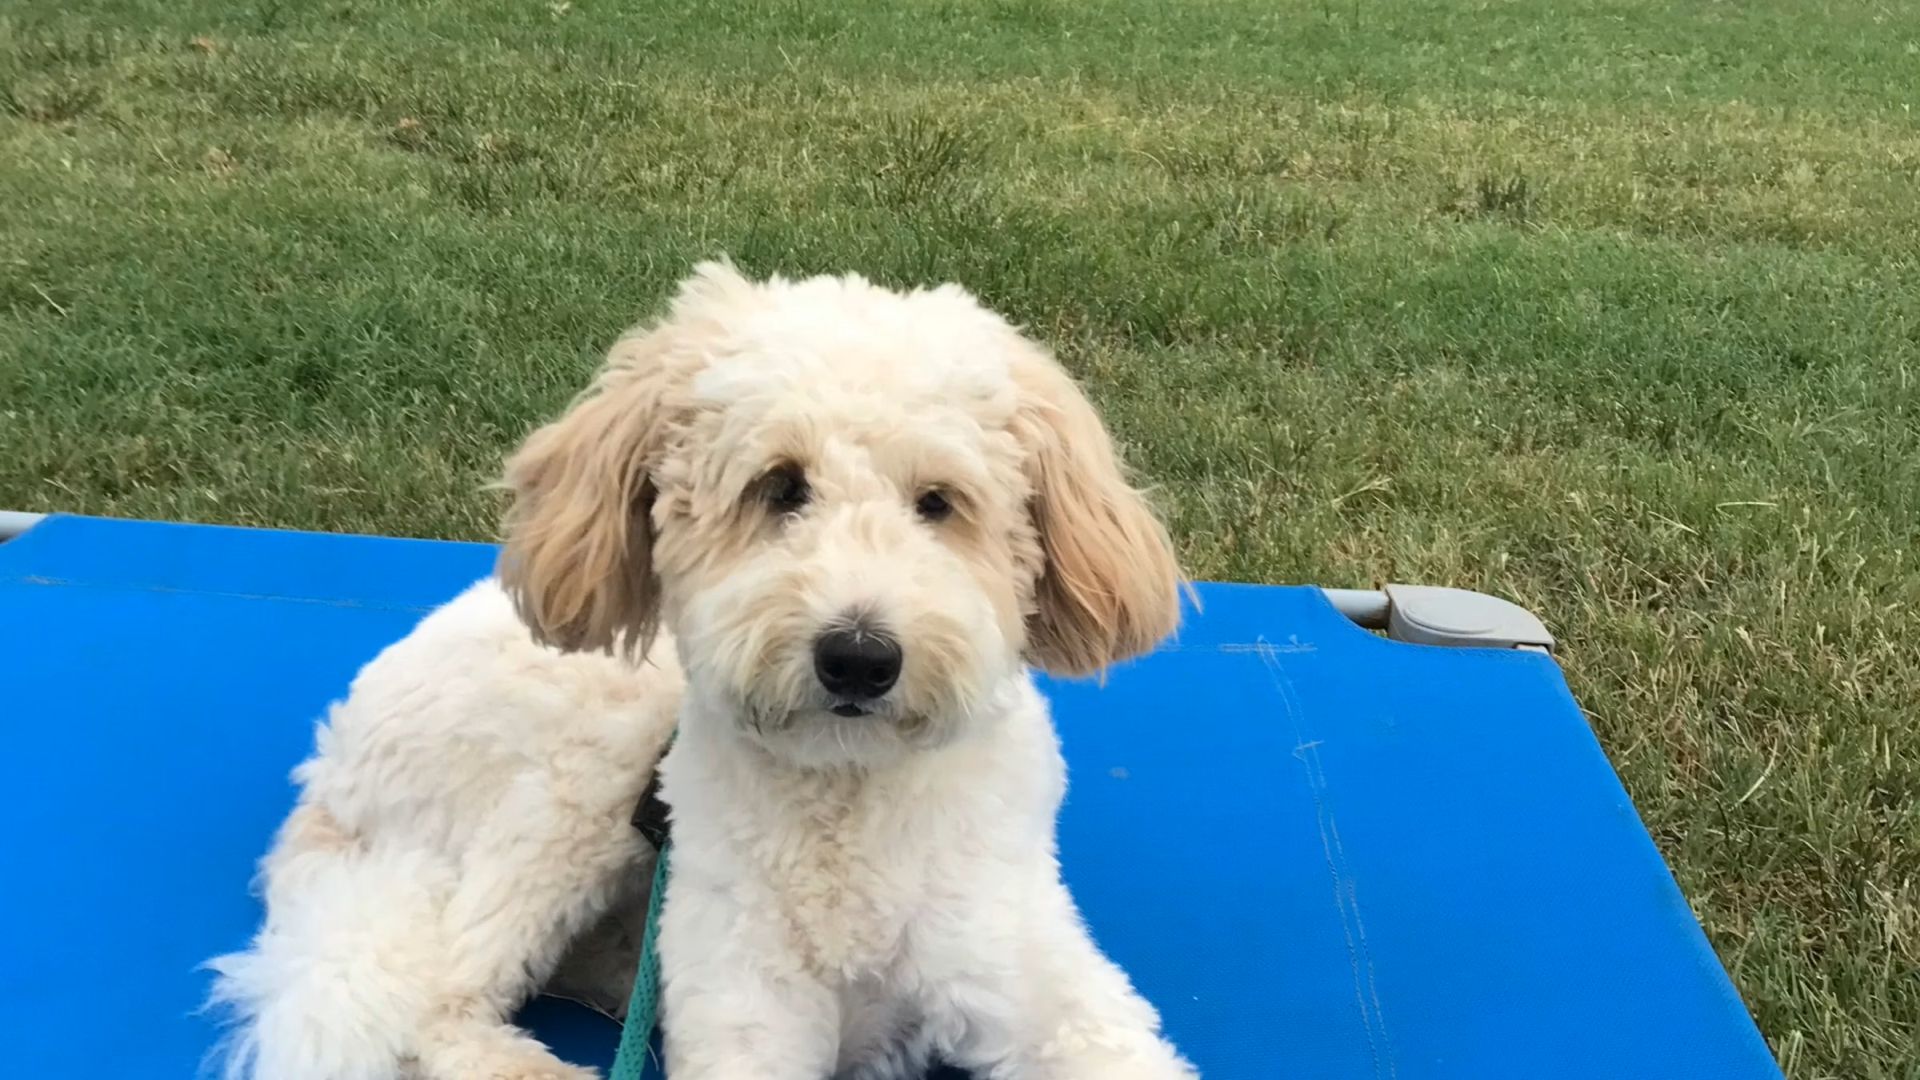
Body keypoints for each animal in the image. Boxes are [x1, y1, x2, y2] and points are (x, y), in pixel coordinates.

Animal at [209, 262, 1197, 1080]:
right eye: (780, 486)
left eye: (938, 503)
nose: (859, 657)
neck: (849, 797)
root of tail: (331, 762)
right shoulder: (748, 1012)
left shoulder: (1034, 980)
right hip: (579, 784)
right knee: (440, 1004)